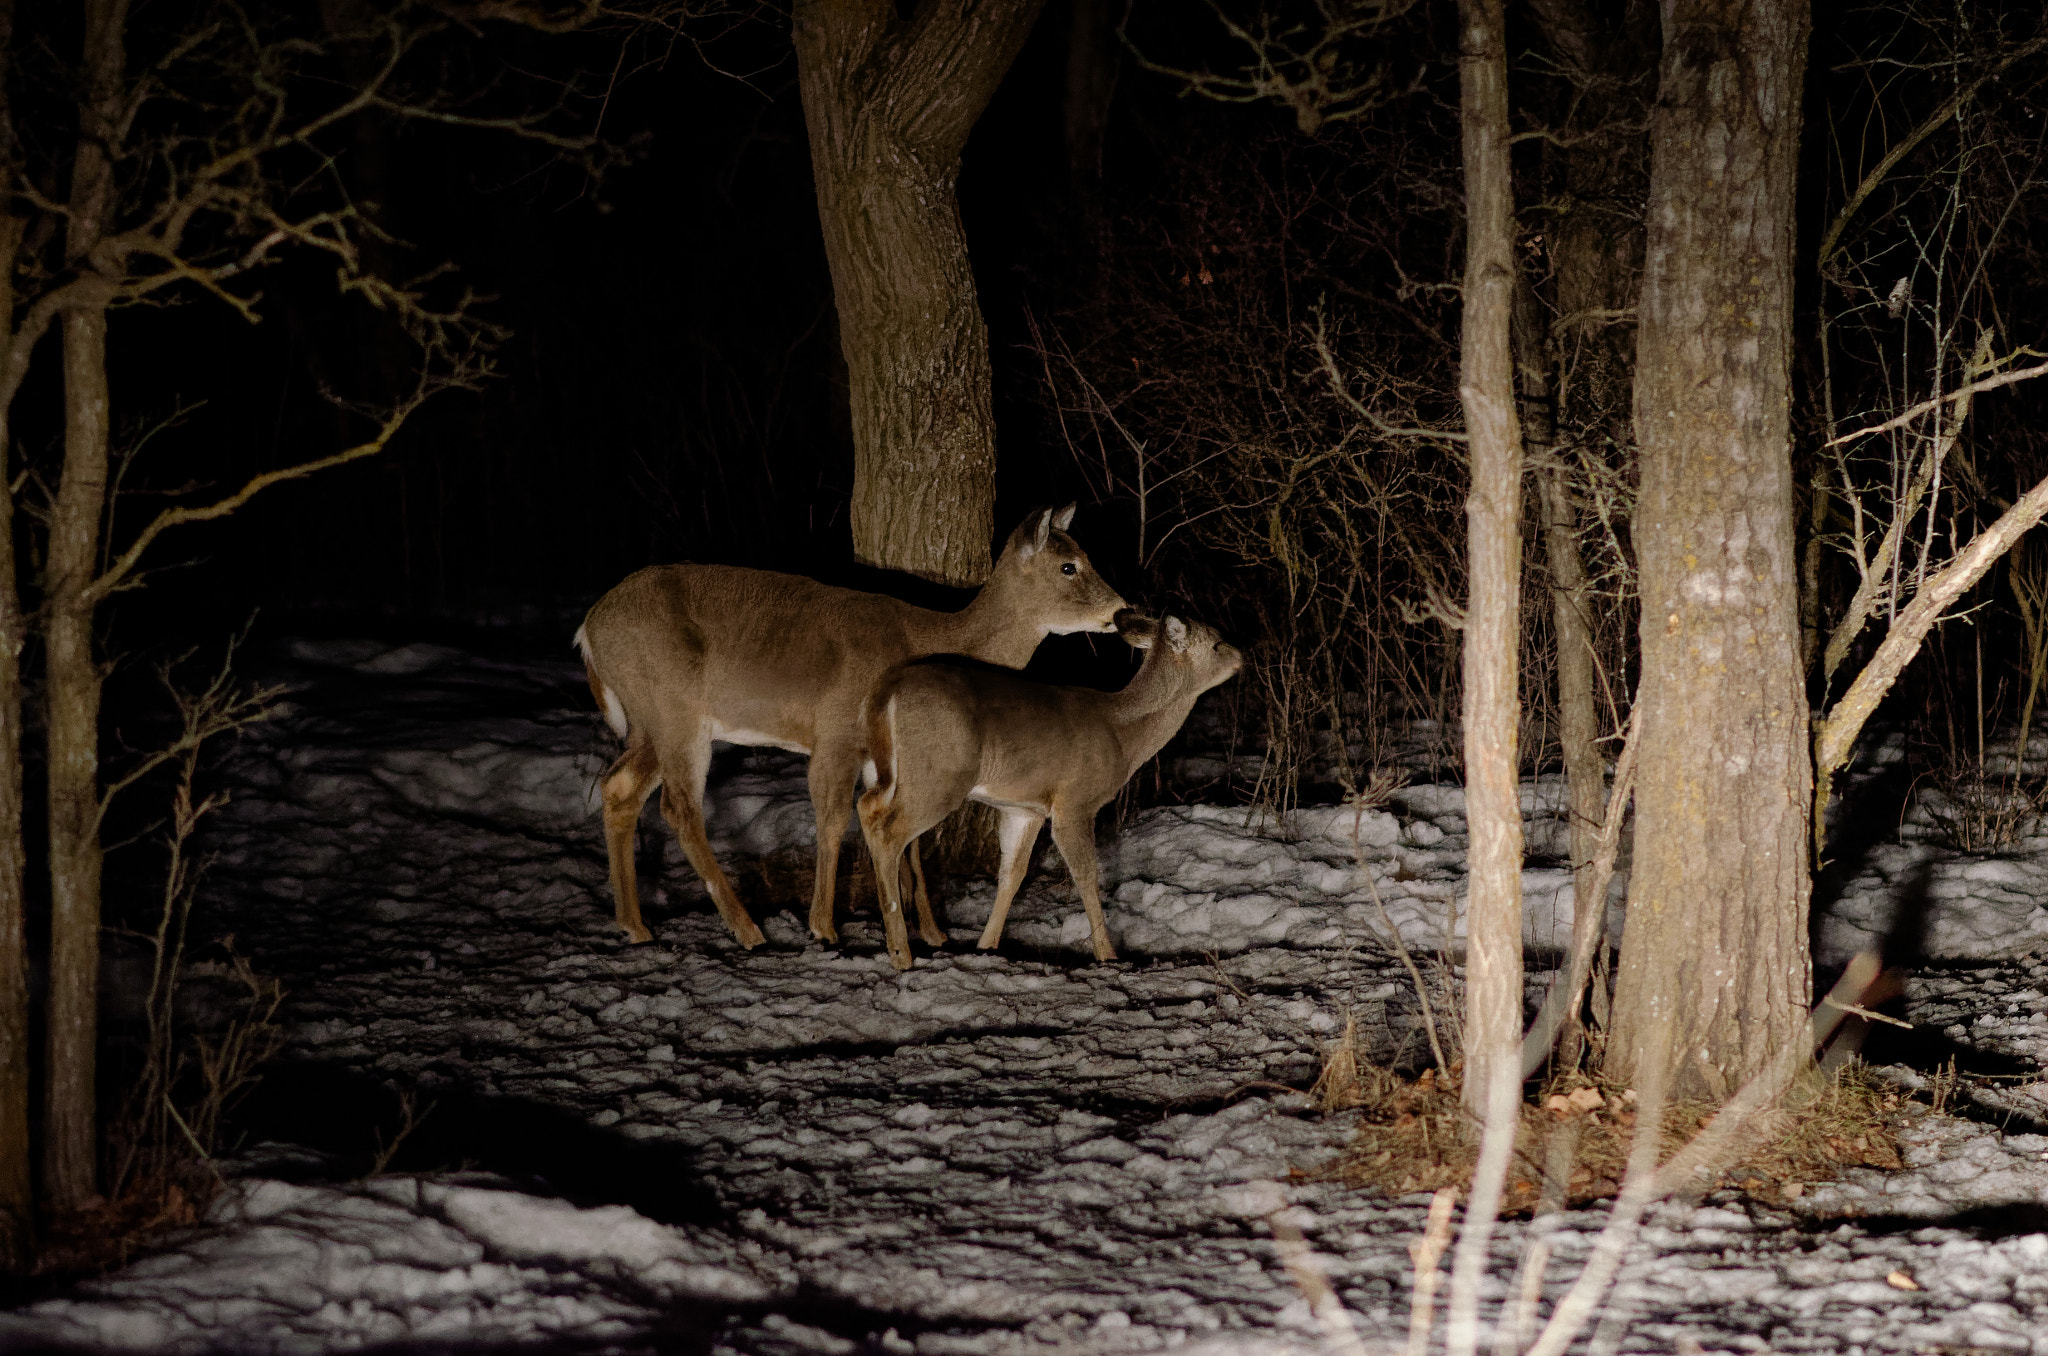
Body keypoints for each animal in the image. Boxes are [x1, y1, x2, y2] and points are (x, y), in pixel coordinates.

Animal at [573, 503, 1122, 950]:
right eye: (1069, 566)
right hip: (675, 710)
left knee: (619, 787)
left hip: (651, 721)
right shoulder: (837, 730)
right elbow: (835, 820)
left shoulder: (887, 754)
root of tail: (587, 629)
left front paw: (932, 932)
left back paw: (635, 925)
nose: (1119, 611)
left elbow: (910, 841)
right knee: (679, 808)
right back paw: (747, 931)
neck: (931, 637)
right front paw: (824, 926)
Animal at [856, 610, 1236, 970]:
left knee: (867, 807)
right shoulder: (1075, 802)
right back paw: (900, 953)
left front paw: (987, 946)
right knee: (887, 830)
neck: (1123, 734)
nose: (1240, 656)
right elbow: (1087, 875)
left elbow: (1012, 874)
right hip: (939, 775)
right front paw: (1107, 954)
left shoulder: (1025, 809)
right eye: (1217, 643)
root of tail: (885, 693)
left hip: (882, 771)